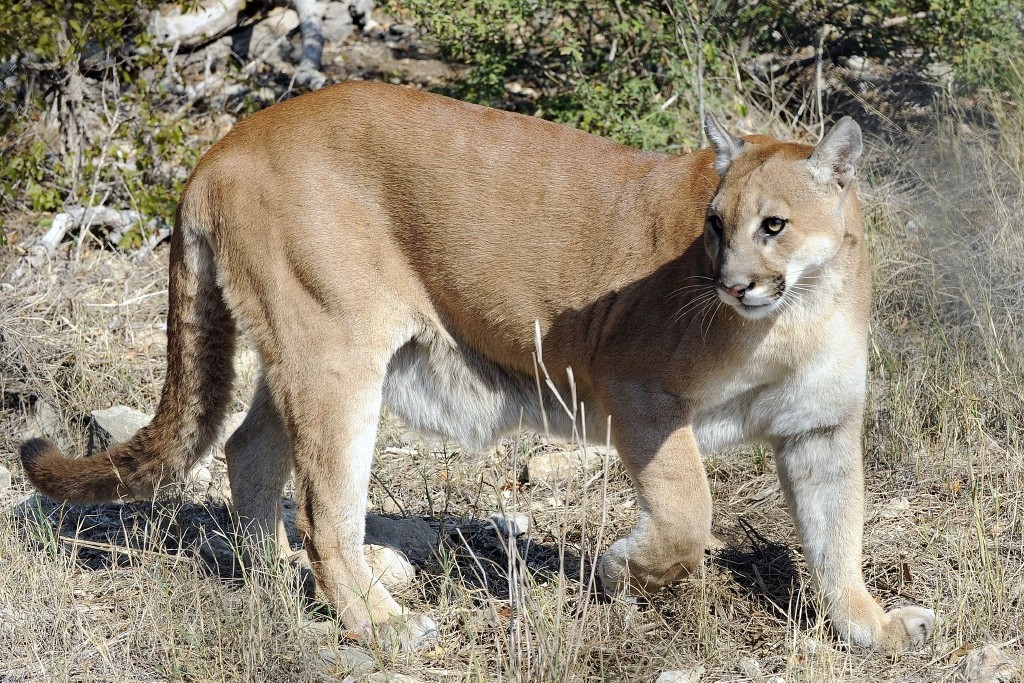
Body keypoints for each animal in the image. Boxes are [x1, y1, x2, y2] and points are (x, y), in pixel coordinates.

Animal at [20, 81, 934, 651]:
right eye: (713, 224)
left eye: (772, 224)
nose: (732, 282)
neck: (796, 313)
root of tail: (226, 142)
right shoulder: (637, 389)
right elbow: (689, 511)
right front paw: (623, 569)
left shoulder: (820, 426)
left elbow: (839, 535)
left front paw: (872, 627)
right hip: (335, 352)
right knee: (323, 507)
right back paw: (383, 622)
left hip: (304, 352)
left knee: (251, 452)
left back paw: (274, 577)